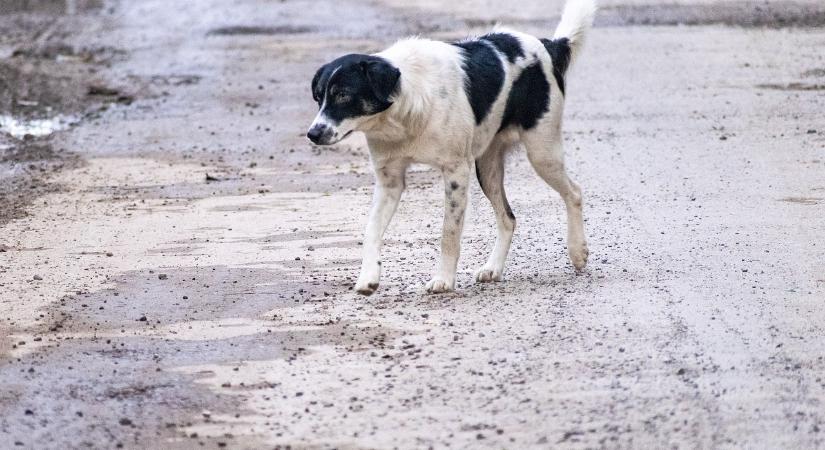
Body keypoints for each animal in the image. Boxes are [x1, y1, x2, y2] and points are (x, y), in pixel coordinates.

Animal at [308, 0, 592, 296]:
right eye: (318, 97)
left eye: (343, 95)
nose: (313, 134)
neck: (404, 108)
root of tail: (548, 44)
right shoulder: (389, 181)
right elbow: (371, 230)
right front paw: (368, 277)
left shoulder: (456, 172)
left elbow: (449, 233)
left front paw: (443, 279)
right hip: (487, 168)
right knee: (508, 218)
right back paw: (493, 268)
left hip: (541, 152)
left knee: (574, 193)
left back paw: (577, 251)